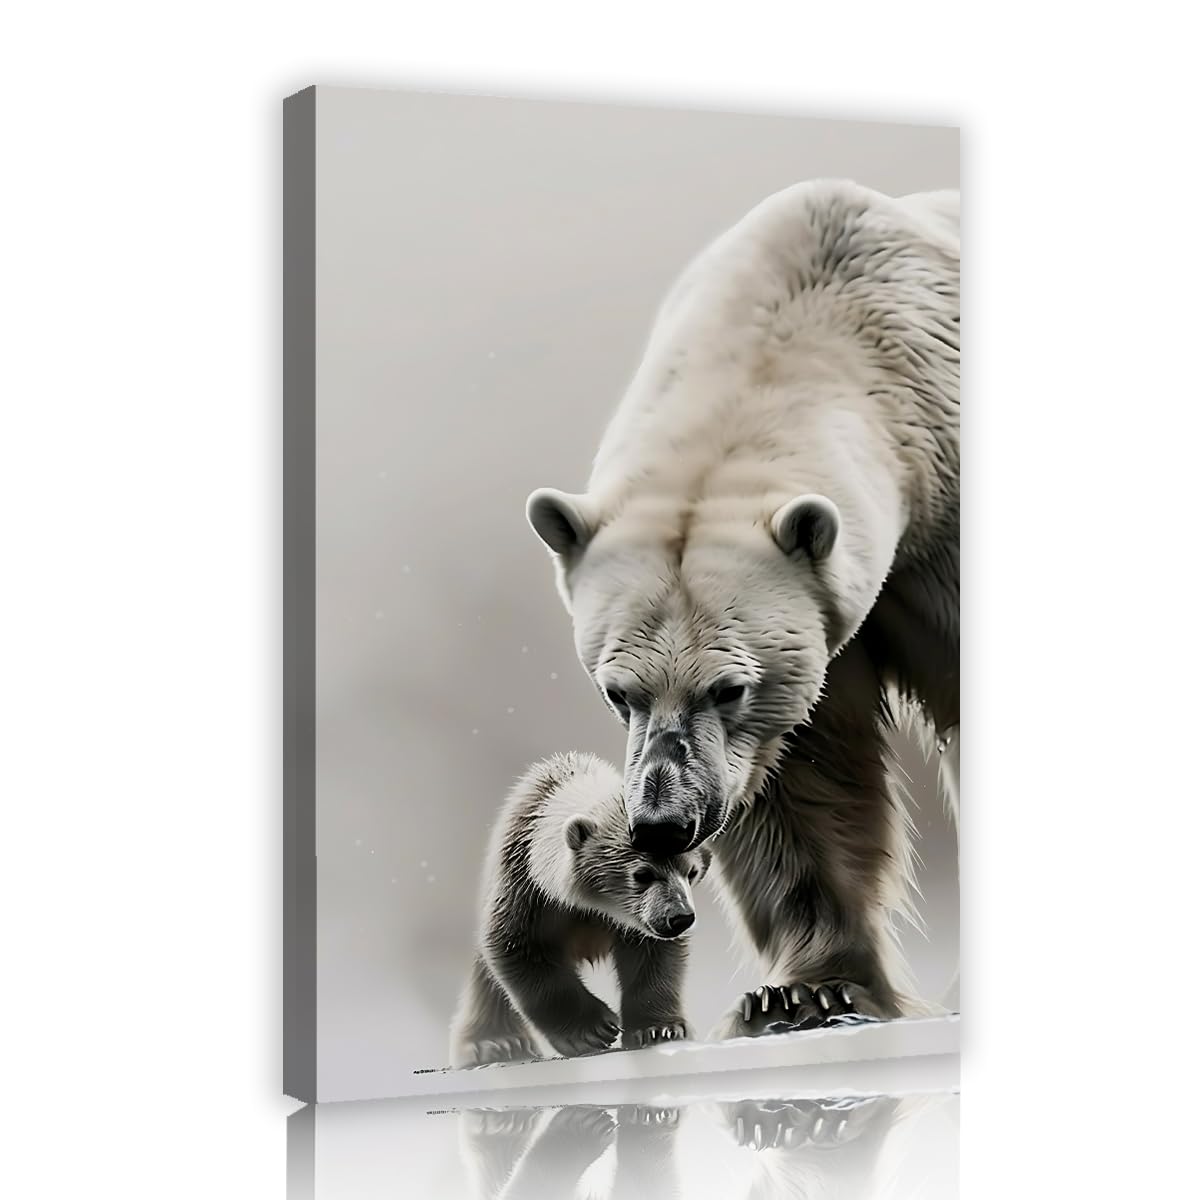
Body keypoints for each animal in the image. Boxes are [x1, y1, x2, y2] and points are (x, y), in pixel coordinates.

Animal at [449, 751, 710, 1067]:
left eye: (692, 871)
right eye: (643, 873)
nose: (680, 917)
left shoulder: (636, 923)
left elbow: (654, 956)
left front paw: (661, 1028)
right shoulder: (526, 884)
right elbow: (519, 946)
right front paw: (593, 1030)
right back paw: (496, 1043)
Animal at [525, 179, 959, 1037]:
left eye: (729, 686)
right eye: (616, 690)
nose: (663, 821)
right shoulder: (824, 639)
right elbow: (803, 778)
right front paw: (807, 992)